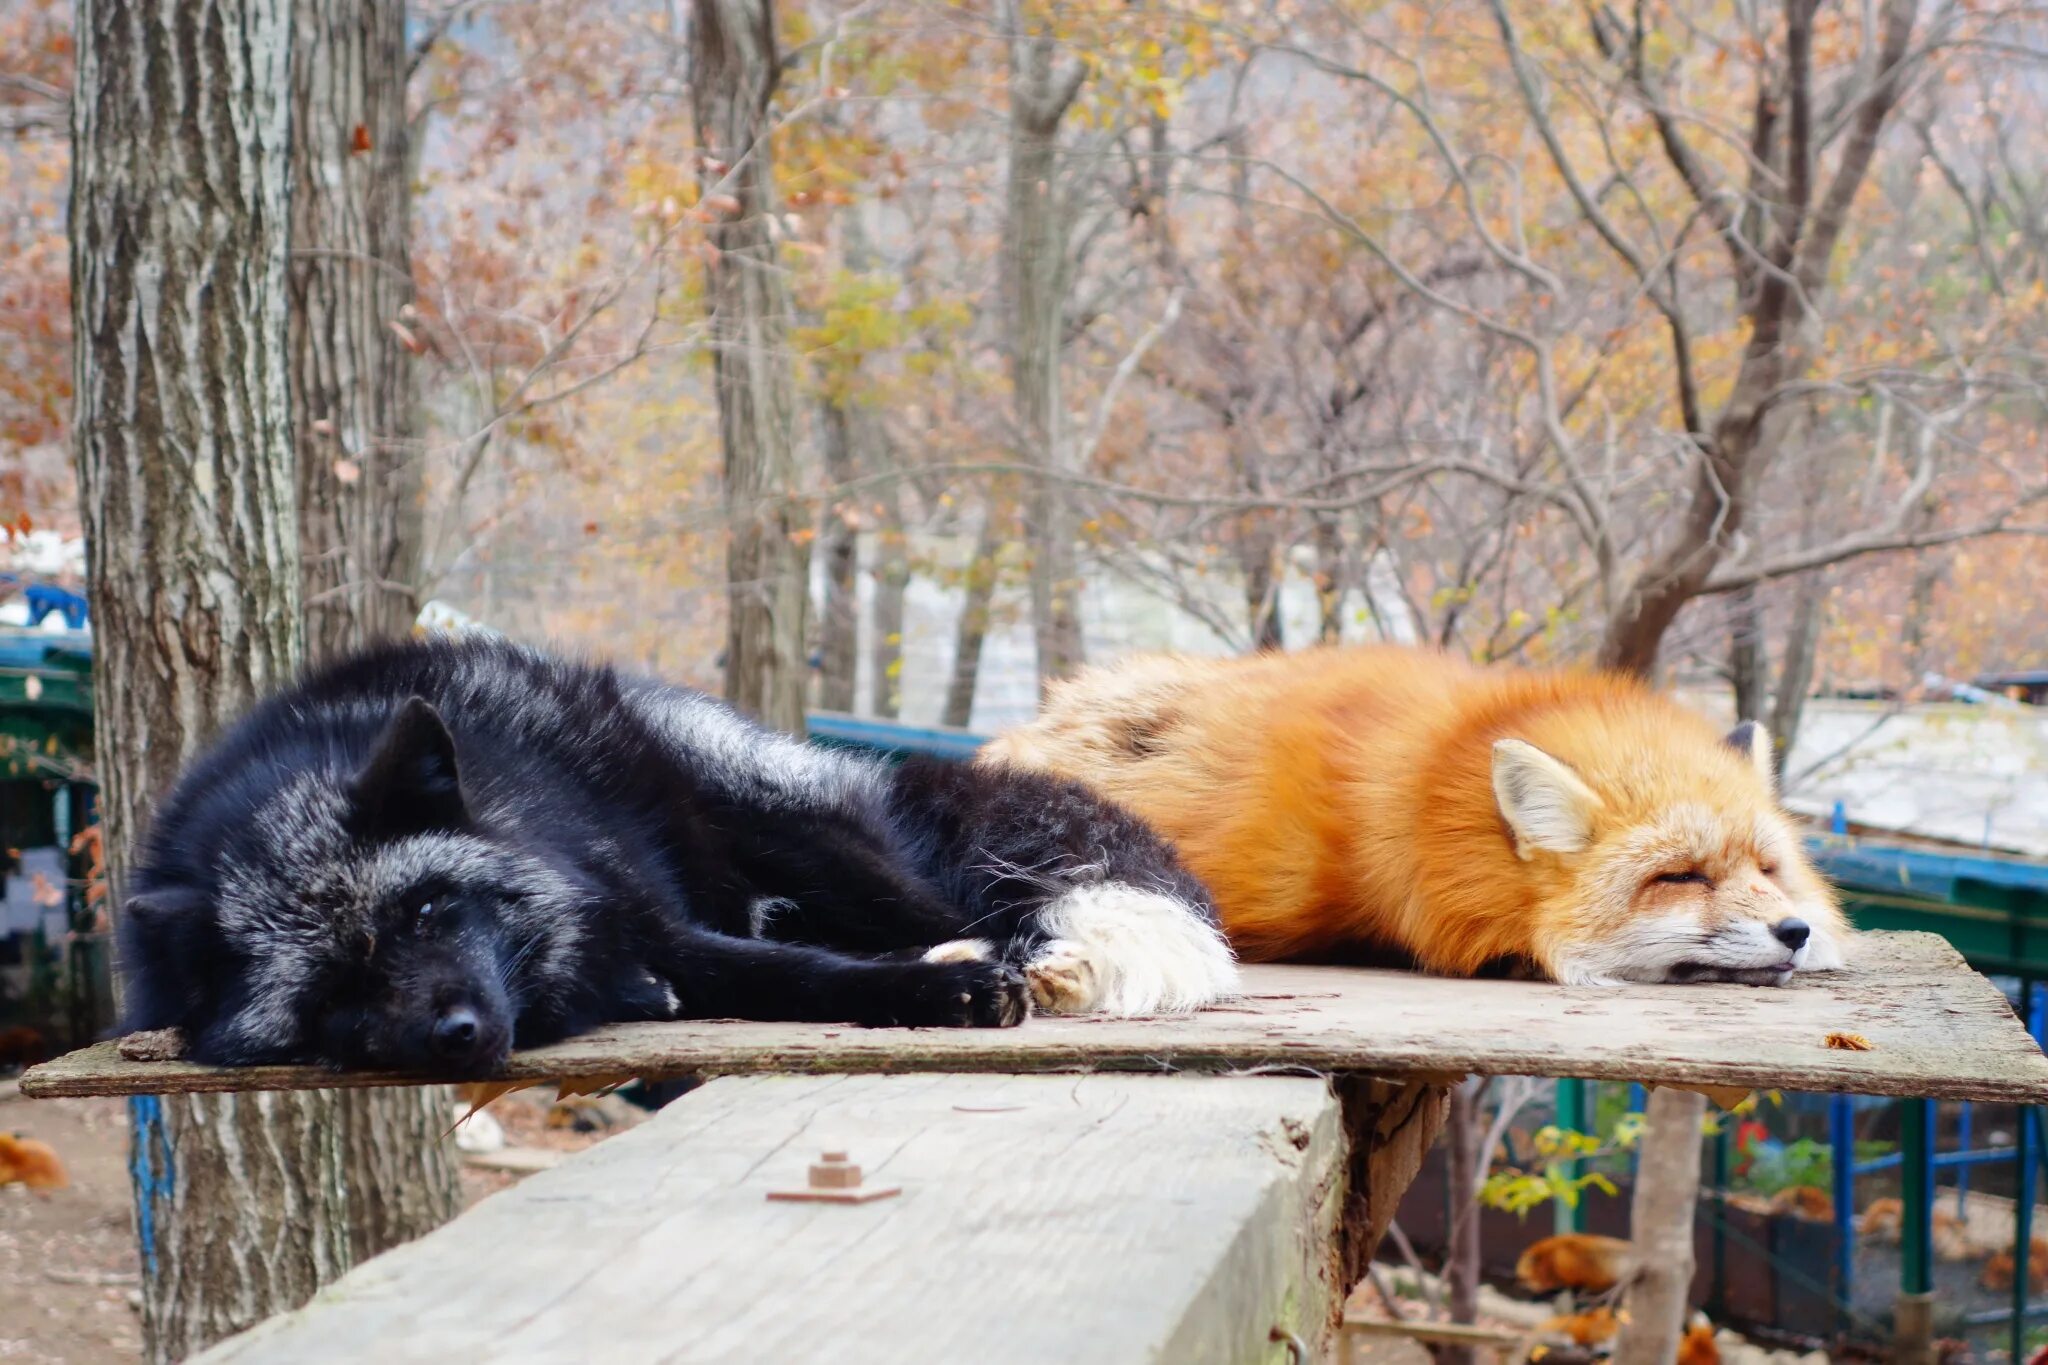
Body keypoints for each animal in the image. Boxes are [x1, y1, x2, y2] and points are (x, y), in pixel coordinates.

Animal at [123, 642, 1228, 1080]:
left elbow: (800, 975)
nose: (457, 1034)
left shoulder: (641, 910)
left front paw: (936, 996)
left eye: (426, 913)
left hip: (795, 833)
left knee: (966, 917)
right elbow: (787, 976)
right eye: (337, 989)